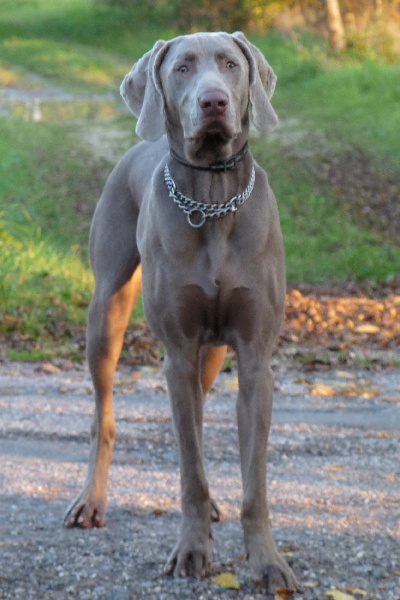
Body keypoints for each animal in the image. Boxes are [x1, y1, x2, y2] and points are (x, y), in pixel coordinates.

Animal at [64, 31, 298, 592]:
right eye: (183, 68)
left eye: (231, 65)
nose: (213, 102)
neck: (212, 199)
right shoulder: (177, 350)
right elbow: (190, 469)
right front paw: (193, 551)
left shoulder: (255, 359)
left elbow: (254, 481)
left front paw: (268, 562)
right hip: (108, 314)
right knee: (106, 417)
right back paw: (91, 501)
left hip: (211, 352)